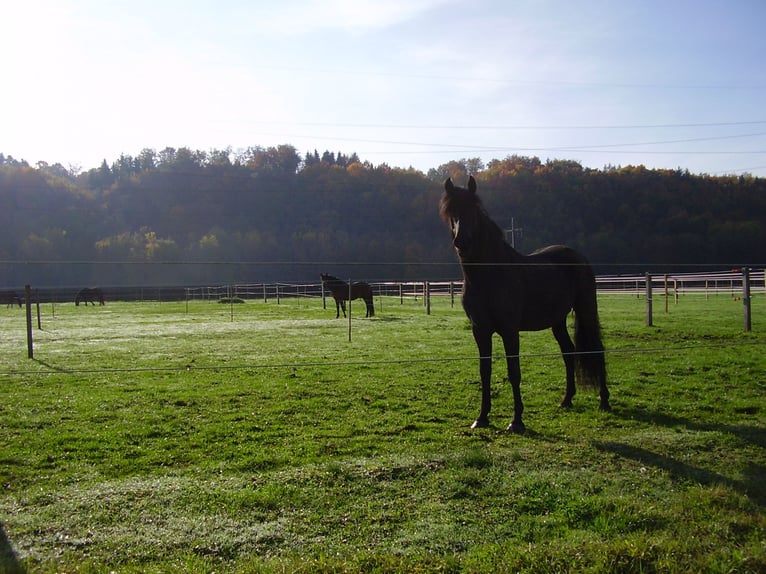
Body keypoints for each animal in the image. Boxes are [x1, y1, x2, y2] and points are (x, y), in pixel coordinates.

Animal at [440, 178, 608, 434]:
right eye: (452, 212)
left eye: (474, 211)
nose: (462, 242)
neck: (489, 275)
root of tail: (578, 257)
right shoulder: (480, 330)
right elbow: (484, 372)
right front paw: (482, 417)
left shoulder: (510, 331)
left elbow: (514, 372)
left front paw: (517, 421)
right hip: (557, 320)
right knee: (568, 352)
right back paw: (566, 399)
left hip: (586, 309)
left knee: (597, 348)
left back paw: (604, 401)